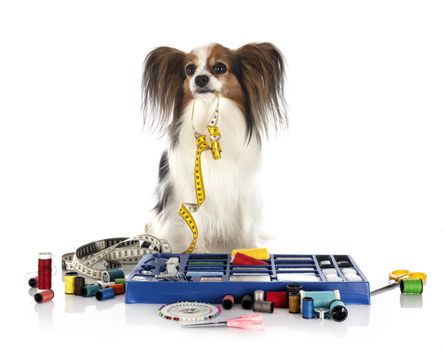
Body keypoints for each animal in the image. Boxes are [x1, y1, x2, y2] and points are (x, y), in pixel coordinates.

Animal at [143, 42, 288, 253]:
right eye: (190, 70)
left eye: (220, 68)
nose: (200, 79)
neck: (208, 111)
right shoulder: (188, 191)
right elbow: (195, 224)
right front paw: (198, 252)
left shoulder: (243, 187)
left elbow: (247, 222)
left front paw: (250, 249)